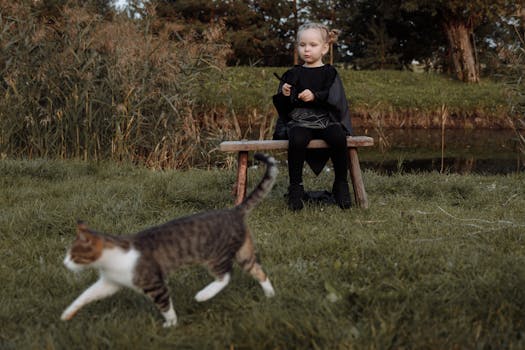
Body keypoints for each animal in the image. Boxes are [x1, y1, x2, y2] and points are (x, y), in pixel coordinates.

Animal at [61, 153, 278, 328]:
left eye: (73, 255)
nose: (64, 264)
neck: (110, 259)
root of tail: (234, 210)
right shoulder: (110, 283)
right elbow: (86, 294)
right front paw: (66, 314)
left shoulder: (155, 284)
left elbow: (165, 307)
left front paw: (171, 325)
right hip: (243, 251)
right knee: (258, 271)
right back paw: (270, 295)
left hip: (216, 255)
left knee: (225, 275)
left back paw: (203, 295)